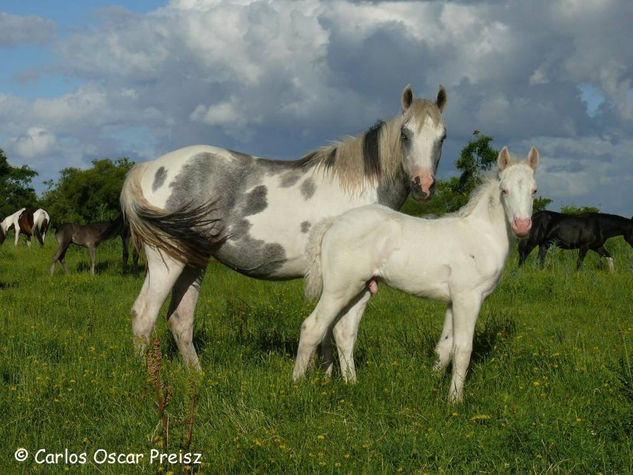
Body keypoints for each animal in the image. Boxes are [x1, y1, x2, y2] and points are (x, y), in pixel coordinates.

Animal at [121, 84, 446, 368]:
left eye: (442, 137)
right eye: (405, 134)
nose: (424, 185)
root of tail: (150, 167)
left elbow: (326, 334)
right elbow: (340, 331)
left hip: (193, 262)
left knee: (180, 320)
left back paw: (196, 376)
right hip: (167, 260)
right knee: (144, 315)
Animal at [296, 147, 540, 404]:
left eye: (534, 190)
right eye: (505, 190)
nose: (522, 226)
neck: (481, 235)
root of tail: (334, 223)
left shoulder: (453, 301)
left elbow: (445, 347)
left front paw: (433, 386)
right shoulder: (468, 298)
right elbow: (463, 348)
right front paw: (455, 400)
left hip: (361, 289)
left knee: (344, 332)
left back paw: (352, 383)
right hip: (339, 288)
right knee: (312, 327)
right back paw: (297, 384)